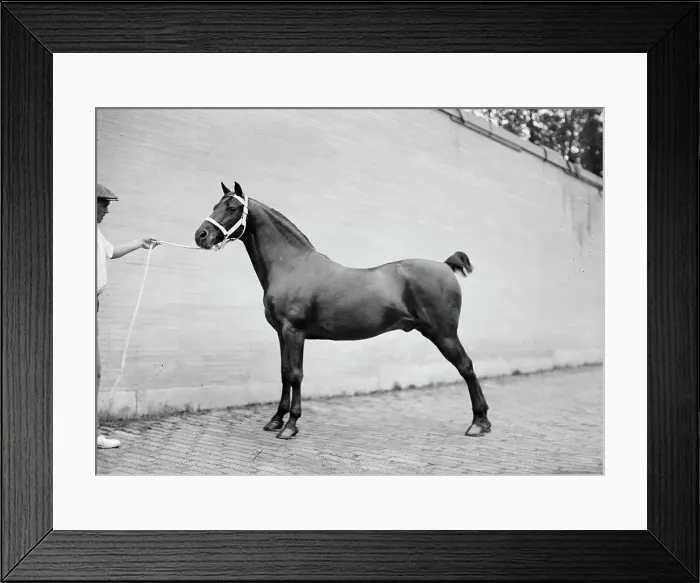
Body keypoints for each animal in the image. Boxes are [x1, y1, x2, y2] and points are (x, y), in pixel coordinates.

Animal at [194, 182, 491, 440]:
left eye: (232, 208)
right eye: (216, 205)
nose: (201, 236)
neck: (291, 266)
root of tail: (445, 265)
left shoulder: (294, 332)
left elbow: (295, 374)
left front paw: (290, 425)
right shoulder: (281, 333)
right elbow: (283, 373)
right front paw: (276, 419)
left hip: (444, 333)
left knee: (466, 367)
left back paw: (479, 423)